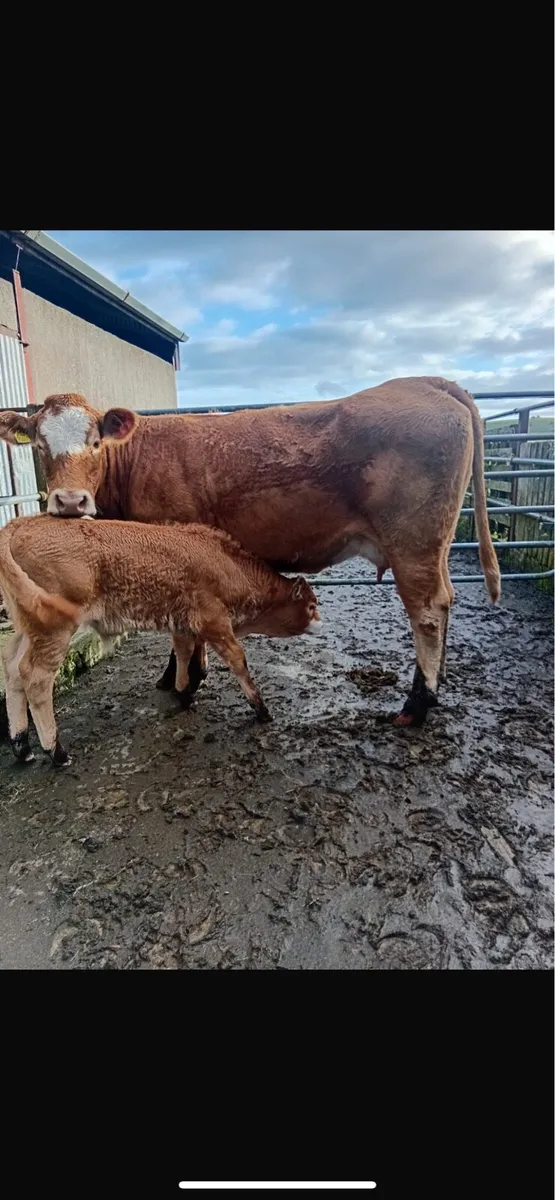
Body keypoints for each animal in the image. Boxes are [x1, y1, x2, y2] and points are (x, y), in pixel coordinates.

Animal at [0, 377, 501, 728]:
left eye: (95, 442)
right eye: (39, 445)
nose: (69, 502)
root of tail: (424, 382)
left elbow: (184, 631)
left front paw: (183, 681)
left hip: (412, 542)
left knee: (427, 610)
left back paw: (417, 705)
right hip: (433, 545)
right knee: (447, 599)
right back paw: (435, 686)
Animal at [0, 515, 322, 767]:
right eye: (310, 606)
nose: (321, 622)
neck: (225, 564)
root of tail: (25, 522)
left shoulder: (183, 623)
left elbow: (183, 653)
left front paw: (183, 693)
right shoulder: (214, 621)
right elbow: (237, 660)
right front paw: (261, 709)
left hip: (28, 627)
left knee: (12, 667)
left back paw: (21, 745)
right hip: (54, 628)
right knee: (35, 677)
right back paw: (56, 751)